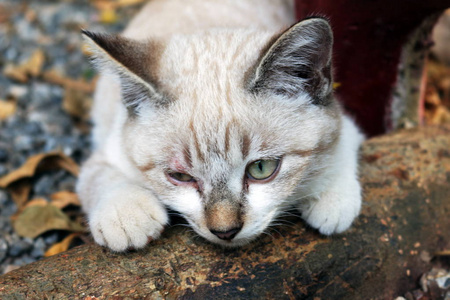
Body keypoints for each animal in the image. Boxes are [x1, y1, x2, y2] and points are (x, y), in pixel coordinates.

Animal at [78, 0, 366, 252]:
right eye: (180, 176)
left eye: (261, 169)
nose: (225, 232)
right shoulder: (109, 151)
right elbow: (101, 178)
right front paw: (126, 218)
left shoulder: (347, 124)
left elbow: (339, 148)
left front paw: (331, 202)